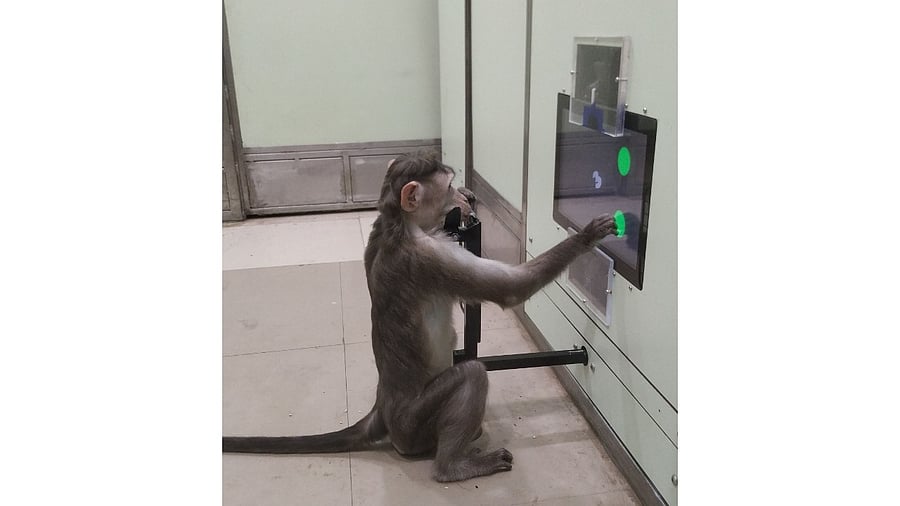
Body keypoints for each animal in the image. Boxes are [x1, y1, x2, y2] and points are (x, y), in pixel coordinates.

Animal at [223, 150, 618, 482]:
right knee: (472, 374)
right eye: (447, 188)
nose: (461, 197)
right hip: (414, 426)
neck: (398, 224)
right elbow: (510, 289)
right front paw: (586, 237)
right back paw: (452, 467)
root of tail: (383, 407)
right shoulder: (432, 255)